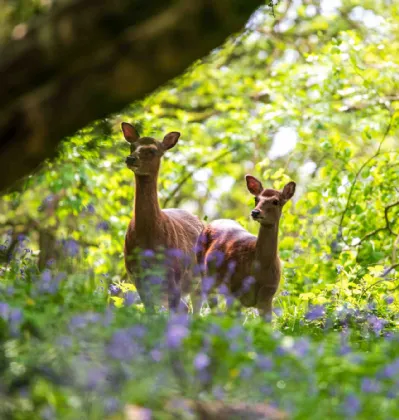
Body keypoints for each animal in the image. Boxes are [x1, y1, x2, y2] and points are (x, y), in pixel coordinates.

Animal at [121, 121, 203, 312]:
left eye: (153, 150)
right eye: (132, 146)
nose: (131, 159)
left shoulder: (174, 276)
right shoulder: (138, 278)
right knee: (186, 309)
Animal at [195, 176, 296, 320]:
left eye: (276, 201)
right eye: (256, 199)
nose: (255, 212)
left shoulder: (268, 294)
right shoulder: (235, 290)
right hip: (205, 272)